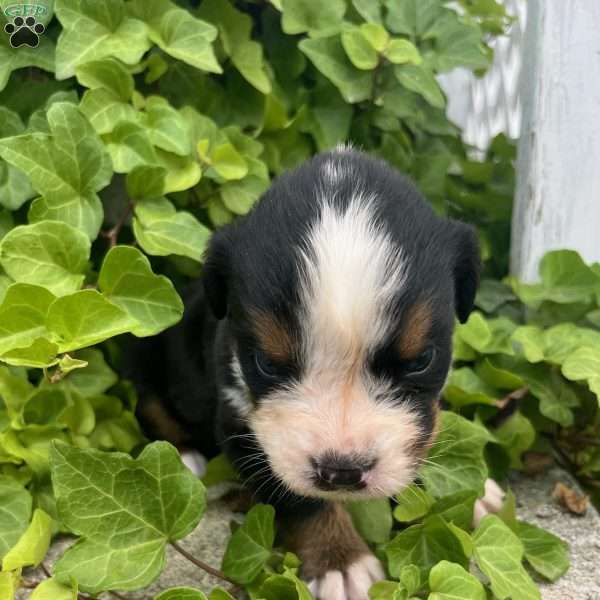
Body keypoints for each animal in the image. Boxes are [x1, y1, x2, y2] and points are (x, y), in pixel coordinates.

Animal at [129, 146, 480, 600]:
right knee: (152, 408)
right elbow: (299, 499)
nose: (343, 472)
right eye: (266, 362)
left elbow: (418, 445)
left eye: (421, 360)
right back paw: (186, 457)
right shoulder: (244, 424)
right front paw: (340, 561)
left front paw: (475, 495)